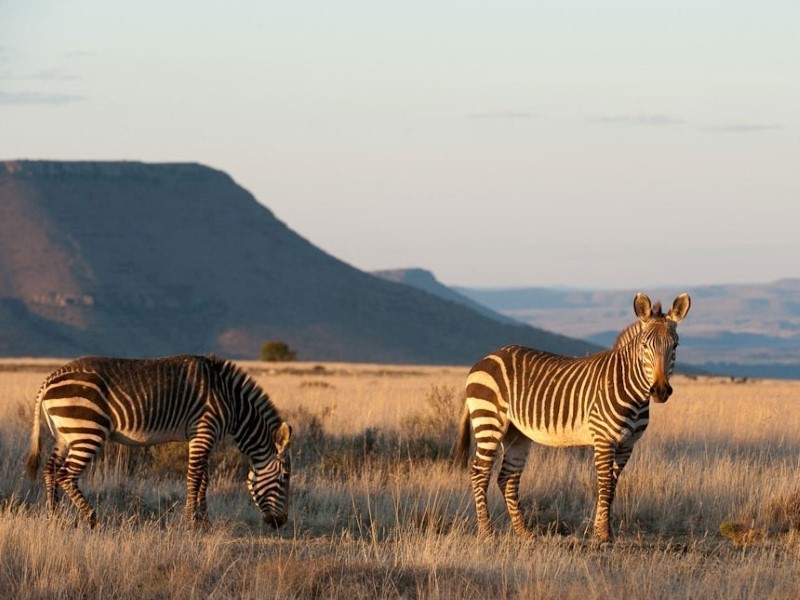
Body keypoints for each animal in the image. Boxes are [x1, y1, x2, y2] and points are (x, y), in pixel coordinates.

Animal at [24, 354, 294, 528]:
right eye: (284, 478)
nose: (281, 523)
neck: (231, 403)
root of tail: (49, 379)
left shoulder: (199, 436)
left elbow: (204, 479)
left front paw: (204, 521)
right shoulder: (204, 430)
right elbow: (195, 478)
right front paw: (190, 522)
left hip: (65, 434)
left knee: (50, 469)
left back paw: (54, 517)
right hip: (86, 431)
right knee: (65, 474)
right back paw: (91, 518)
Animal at [454, 292, 692, 544]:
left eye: (675, 345)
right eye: (645, 346)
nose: (660, 391)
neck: (631, 390)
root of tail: (484, 359)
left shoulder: (627, 445)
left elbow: (612, 487)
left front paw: (603, 530)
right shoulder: (604, 439)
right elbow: (604, 485)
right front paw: (603, 534)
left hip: (516, 434)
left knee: (507, 478)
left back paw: (524, 532)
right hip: (489, 421)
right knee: (479, 473)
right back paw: (486, 532)